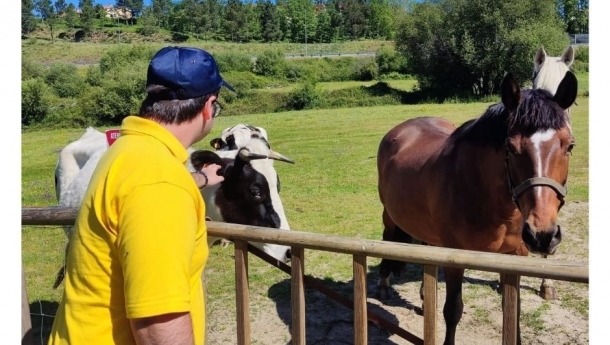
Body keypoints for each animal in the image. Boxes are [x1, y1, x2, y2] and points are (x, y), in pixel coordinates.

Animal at [376, 70, 576, 344]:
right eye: (510, 147)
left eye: (569, 145)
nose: (542, 235)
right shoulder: (455, 259)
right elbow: (453, 310)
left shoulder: (515, 257)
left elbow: (513, 309)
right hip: (389, 216)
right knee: (388, 238)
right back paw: (384, 285)